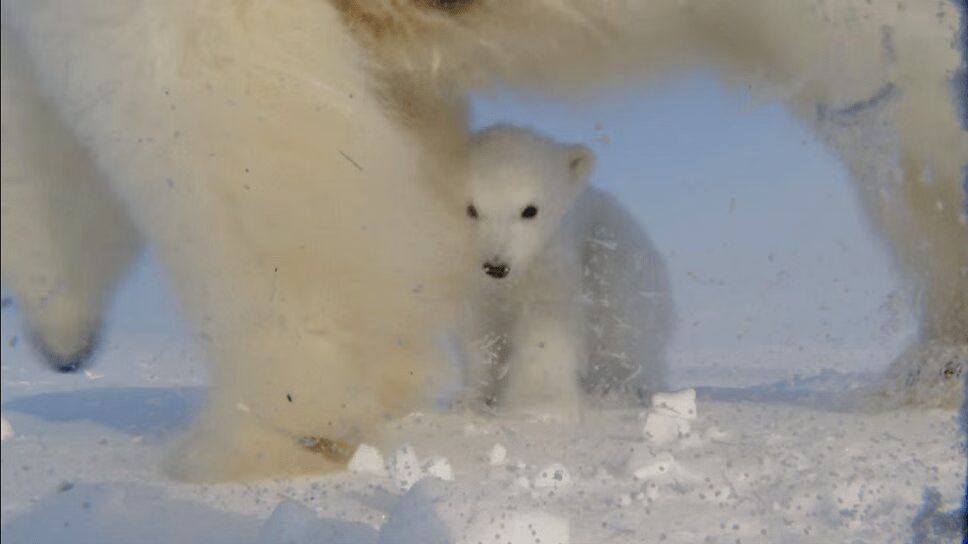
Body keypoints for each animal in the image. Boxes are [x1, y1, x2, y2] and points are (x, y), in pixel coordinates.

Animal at [458, 125, 674, 415]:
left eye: (530, 210)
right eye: (471, 208)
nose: (496, 266)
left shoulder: (555, 268)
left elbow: (545, 330)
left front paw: (538, 404)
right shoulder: (473, 284)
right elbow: (481, 337)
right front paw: (475, 400)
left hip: (618, 265)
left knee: (621, 339)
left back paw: (619, 393)